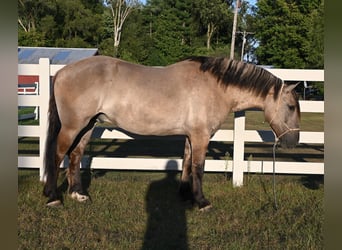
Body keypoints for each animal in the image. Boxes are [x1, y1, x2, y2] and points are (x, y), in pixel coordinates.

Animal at [42, 55, 300, 210]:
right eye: (290, 107)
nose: (293, 141)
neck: (215, 87)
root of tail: (62, 72)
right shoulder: (201, 136)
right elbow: (198, 167)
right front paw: (202, 201)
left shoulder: (190, 136)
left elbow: (186, 164)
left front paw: (185, 196)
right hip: (73, 126)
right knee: (57, 155)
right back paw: (53, 197)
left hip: (88, 126)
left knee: (75, 156)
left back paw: (77, 194)